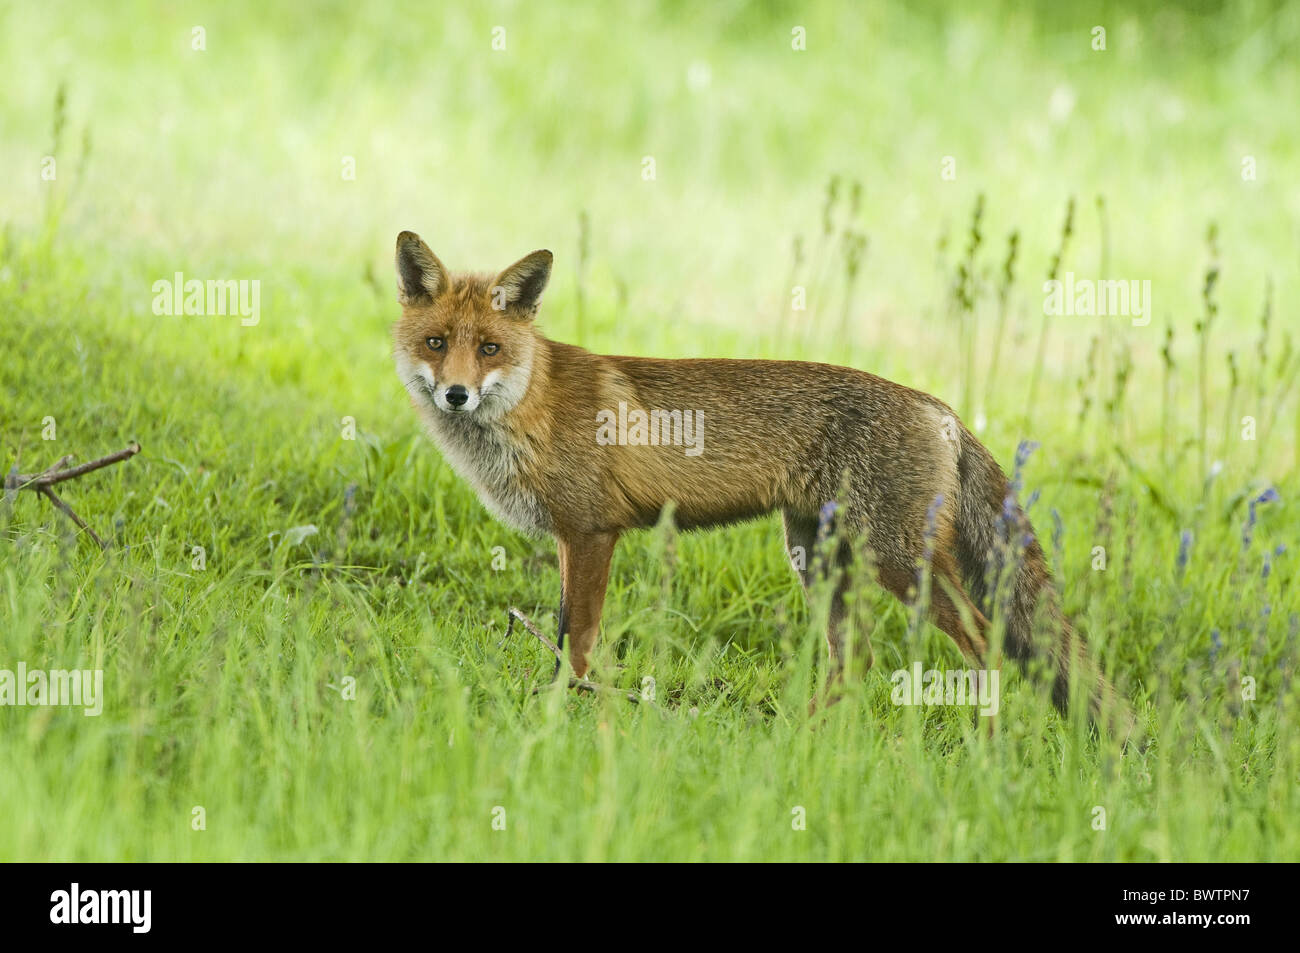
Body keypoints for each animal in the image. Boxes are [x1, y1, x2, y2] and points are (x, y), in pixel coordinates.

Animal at [392, 230, 1138, 741]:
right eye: (436, 343)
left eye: (489, 349)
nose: (456, 394)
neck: (531, 406)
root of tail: (939, 406)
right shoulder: (572, 539)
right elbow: (561, 630)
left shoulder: (593, 529)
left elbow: (577, 640)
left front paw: (561, 712)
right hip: (818, 558)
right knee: (858, 660)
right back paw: (797, 734)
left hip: (899, 561)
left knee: (982, 641)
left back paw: (982, 745)